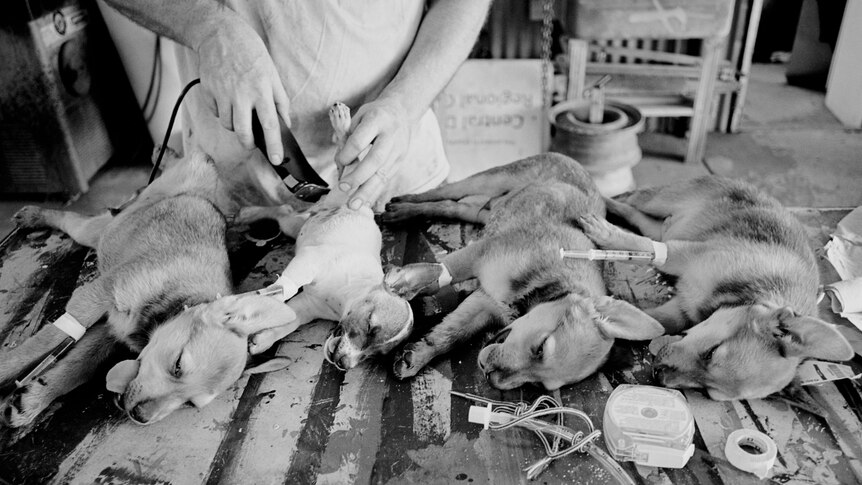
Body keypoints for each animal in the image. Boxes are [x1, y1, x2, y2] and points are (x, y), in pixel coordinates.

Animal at [233, 101, 416, 366]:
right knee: (349, 159)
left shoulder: (307, 306)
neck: (346, 296)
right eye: (370, 326)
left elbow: (290, 319)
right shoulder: (308, 262)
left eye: (374, 356)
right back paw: (342, 122)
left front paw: (264, 338)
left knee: (284, 210)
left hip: (292, 224)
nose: (345, 364)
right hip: (351, 185)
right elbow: (281, 291)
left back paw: (249, 213)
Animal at [382, 153, 664, 388]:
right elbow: (445, 270)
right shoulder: (481, 255)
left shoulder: (483, 302)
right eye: (541, 348)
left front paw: (417, 357)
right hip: (489, 180)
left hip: (486, 210)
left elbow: (449, 335)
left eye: (538, 385)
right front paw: (408, 282)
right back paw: (404, 206)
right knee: (440, 191)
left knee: (453, 206)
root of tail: (577, 164)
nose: (489, 375)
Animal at [580, 176, 856, 398]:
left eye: (706, 391)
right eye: (711, 352)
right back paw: (604, 207)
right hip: (660, 200)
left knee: (640, 220)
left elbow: (656, 323)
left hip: (663, 227)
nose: (658, 374)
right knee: (631, 205)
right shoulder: (682, 255)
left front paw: (621, 321)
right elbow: (645, 247)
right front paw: (609, 237)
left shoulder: (681, 309)